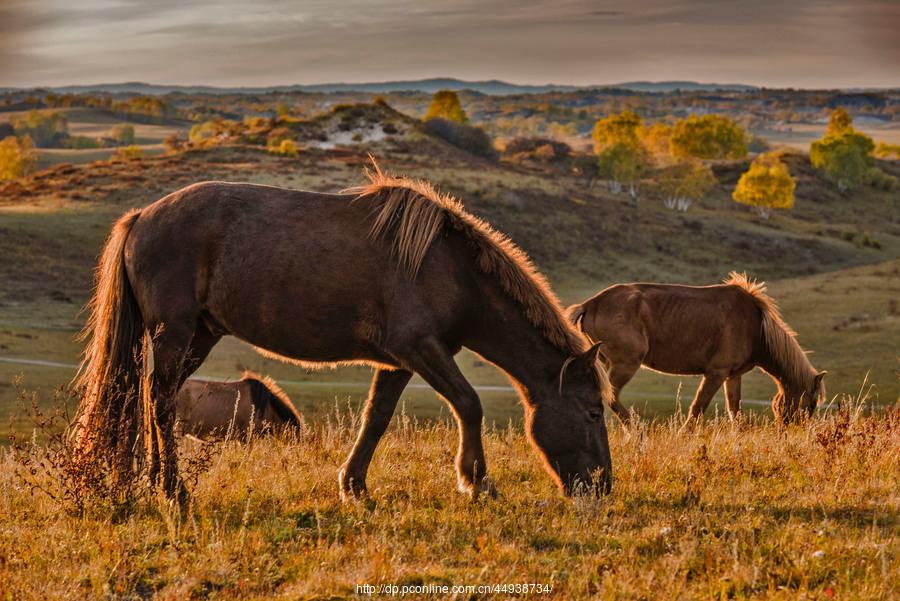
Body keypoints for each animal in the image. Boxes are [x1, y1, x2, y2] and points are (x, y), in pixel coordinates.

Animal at [74, 162, 616, 500]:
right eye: (592, 412)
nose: (603, 487)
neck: (449, 268)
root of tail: (142, 217)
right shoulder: (421, 349)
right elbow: (469, 404)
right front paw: (475, 481)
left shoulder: (398, 362)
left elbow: (376, 419)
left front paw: (353, 486)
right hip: (175, 333)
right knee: (160, 399)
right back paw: (172, 489)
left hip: (198, 336)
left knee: (153, 395)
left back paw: (152, 480)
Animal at [568, 274, 828, 424]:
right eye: (812, 404)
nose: (792, 433)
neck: (755, 325)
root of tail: (590, 304)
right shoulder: (716, 373)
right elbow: (697, 408)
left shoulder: (732, 376)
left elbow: (735, 411)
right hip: (625, 365)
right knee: (610, 396)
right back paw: (638, 429)